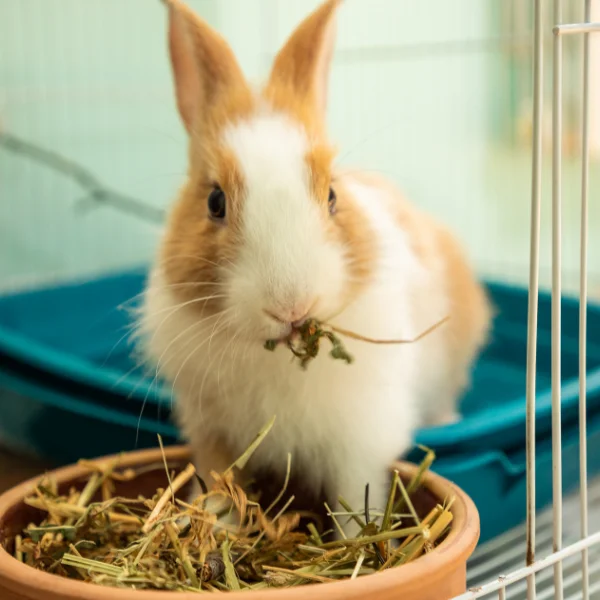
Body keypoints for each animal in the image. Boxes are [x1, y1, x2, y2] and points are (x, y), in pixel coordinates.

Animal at [138, 0, 490, 536]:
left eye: (332, 196)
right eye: (215, 202)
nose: (291, 306)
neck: (276, 357)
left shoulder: (358, 441)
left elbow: (354, 502)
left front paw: (357, 543)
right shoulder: (214, 433)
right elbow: (220, 486)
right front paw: (218, 531)